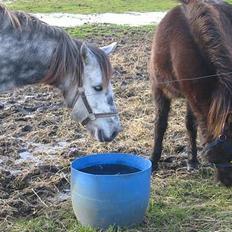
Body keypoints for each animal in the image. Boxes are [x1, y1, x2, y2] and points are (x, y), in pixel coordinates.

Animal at [149, 0, 232, 186]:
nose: (228, 181)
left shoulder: (191, 96)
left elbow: (190, 125)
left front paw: (192, 161)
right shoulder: (159, 90)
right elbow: (160, 124)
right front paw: (153, 162)